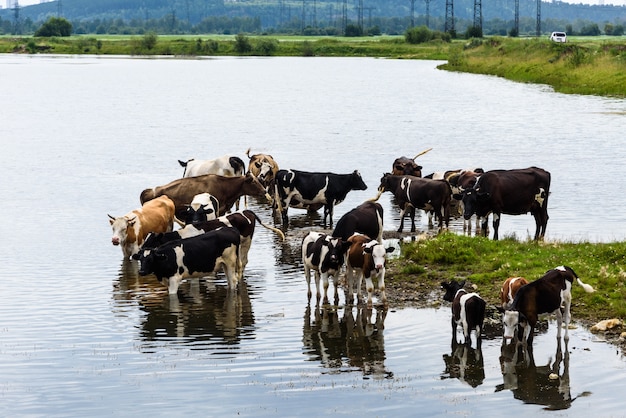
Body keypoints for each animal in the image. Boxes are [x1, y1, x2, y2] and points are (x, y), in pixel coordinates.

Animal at [138, 209, 282, 274]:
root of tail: (246, 211)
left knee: (244, 261)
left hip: (246, 242)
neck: (182, 235)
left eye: (152, 240)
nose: (140, 249)